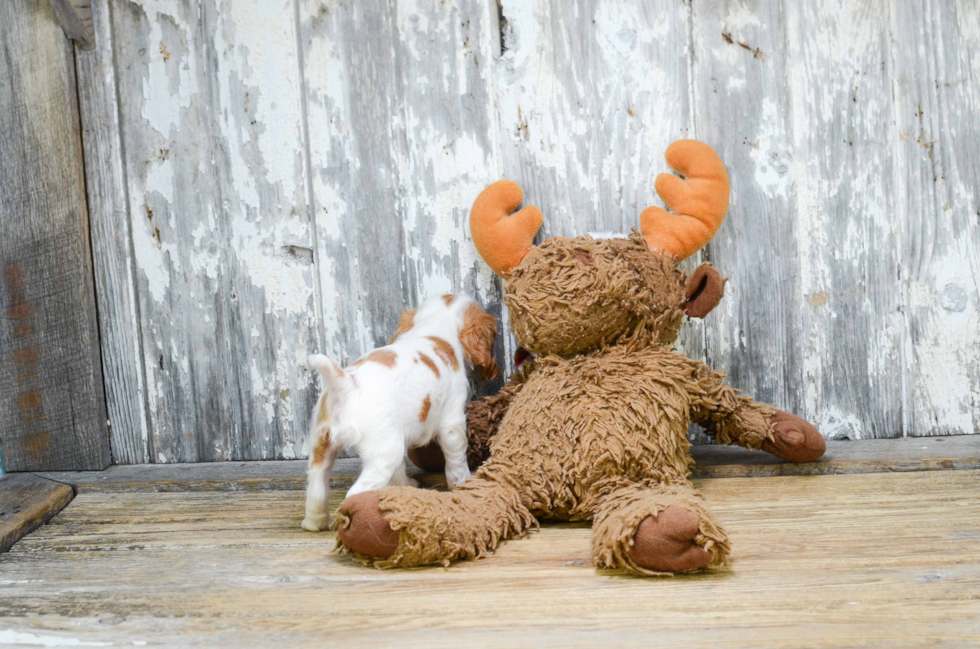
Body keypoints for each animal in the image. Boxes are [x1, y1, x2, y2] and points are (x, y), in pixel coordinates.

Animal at [298, 294, 498, 532]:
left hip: (321, 446)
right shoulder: (453, 421)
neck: (433, 329)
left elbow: (400, 470)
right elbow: (456, 458)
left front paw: (404, 488)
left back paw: (314, 523)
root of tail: (346, 385)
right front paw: (462, 482)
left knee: (316, 488)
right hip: (384, 453)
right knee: (355, 492)